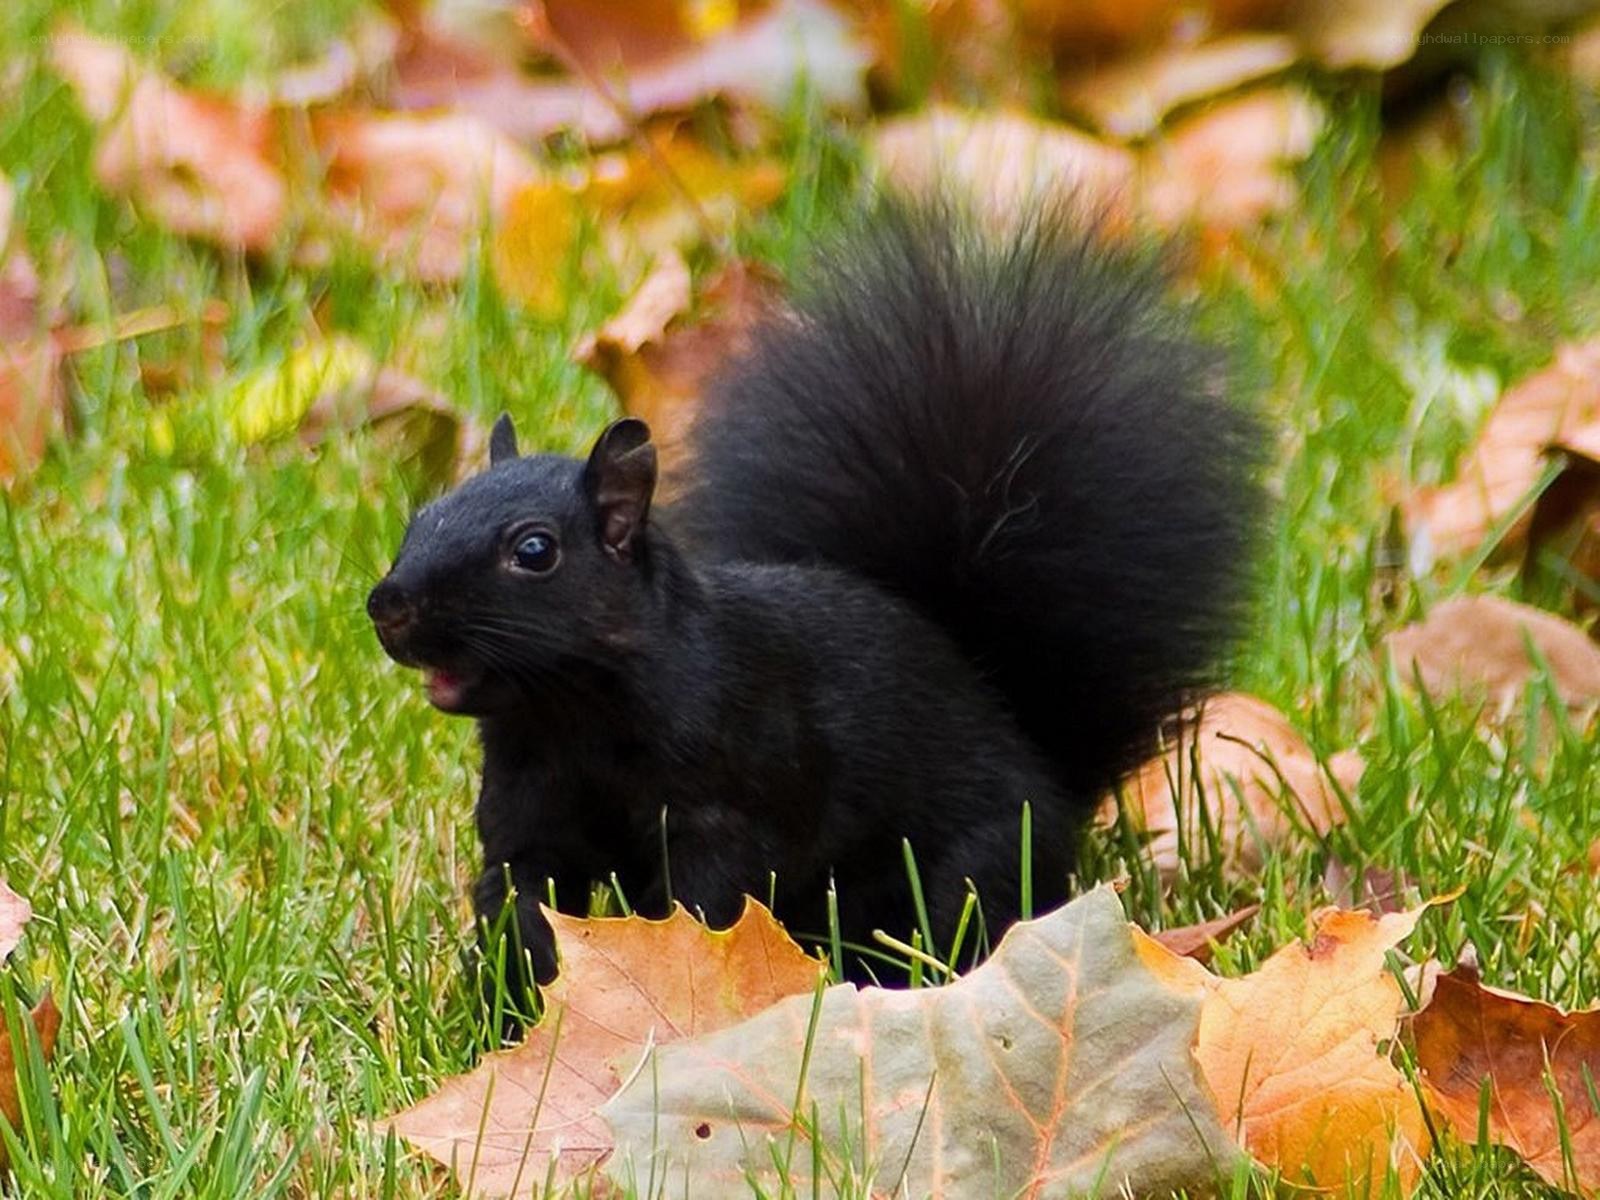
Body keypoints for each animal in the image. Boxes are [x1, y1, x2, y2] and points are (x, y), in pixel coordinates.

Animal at [367, 197, 1267, 991]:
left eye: (534, 551)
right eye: (423, 514)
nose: (388, 607)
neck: (570, 718)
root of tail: (1041, 771)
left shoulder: (731, 797)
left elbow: (704, 906)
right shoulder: (527, 818)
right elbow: (521, 907)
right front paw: (510, 1014)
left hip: (963, 870)